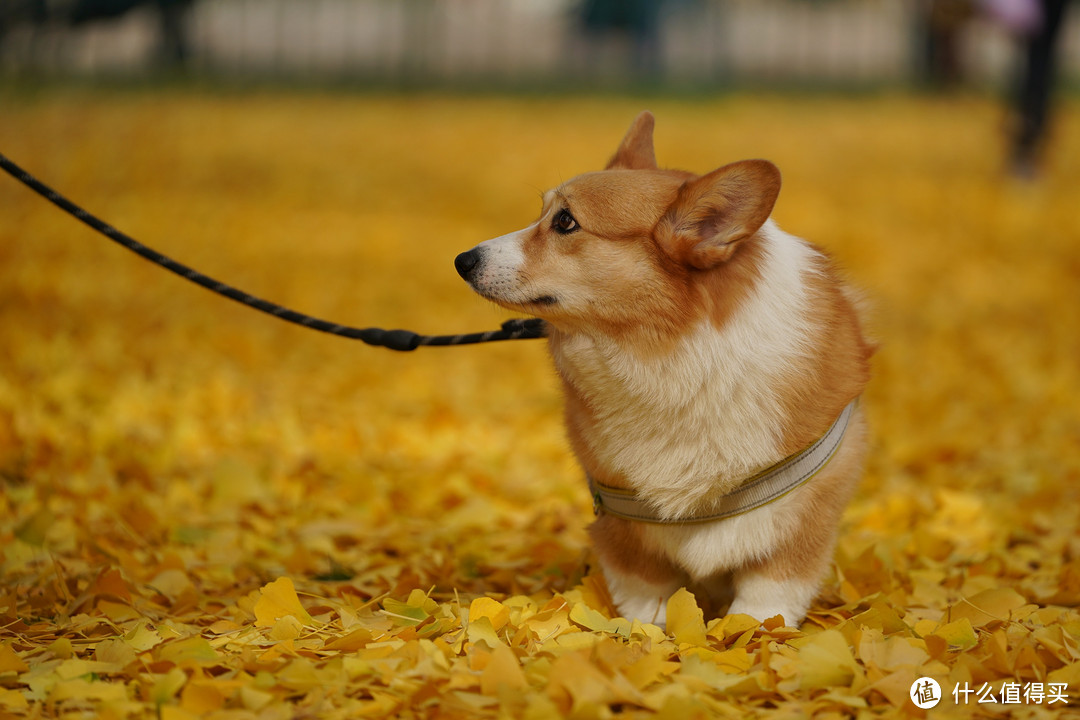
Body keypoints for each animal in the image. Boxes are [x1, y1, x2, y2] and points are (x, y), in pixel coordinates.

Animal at [453, 113, 868, 630]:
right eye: (542, 213)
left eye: (565, 221)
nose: (462, 260)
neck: (667, 352)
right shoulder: (617, 508)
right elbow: (644, 585)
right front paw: (644, 630)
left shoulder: (803, 512)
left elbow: (770, 590)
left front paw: (748, 632)